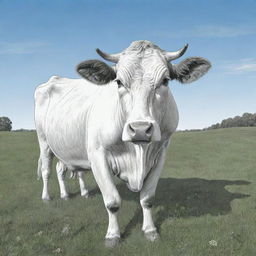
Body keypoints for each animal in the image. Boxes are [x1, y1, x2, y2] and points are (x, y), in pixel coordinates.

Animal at [34, 41, 211, 247]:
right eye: (118, 82)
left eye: (165, 80)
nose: (140, 129)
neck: (137, 154)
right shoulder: (97, 154)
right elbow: (112, 201)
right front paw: (112, 235)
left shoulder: (161, 153)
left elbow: (147, 198)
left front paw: (150, 230)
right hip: (44, 141)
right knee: (47, 170)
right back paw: (47, 197)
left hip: (68, 147)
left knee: (65, 170)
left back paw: (74, 194)